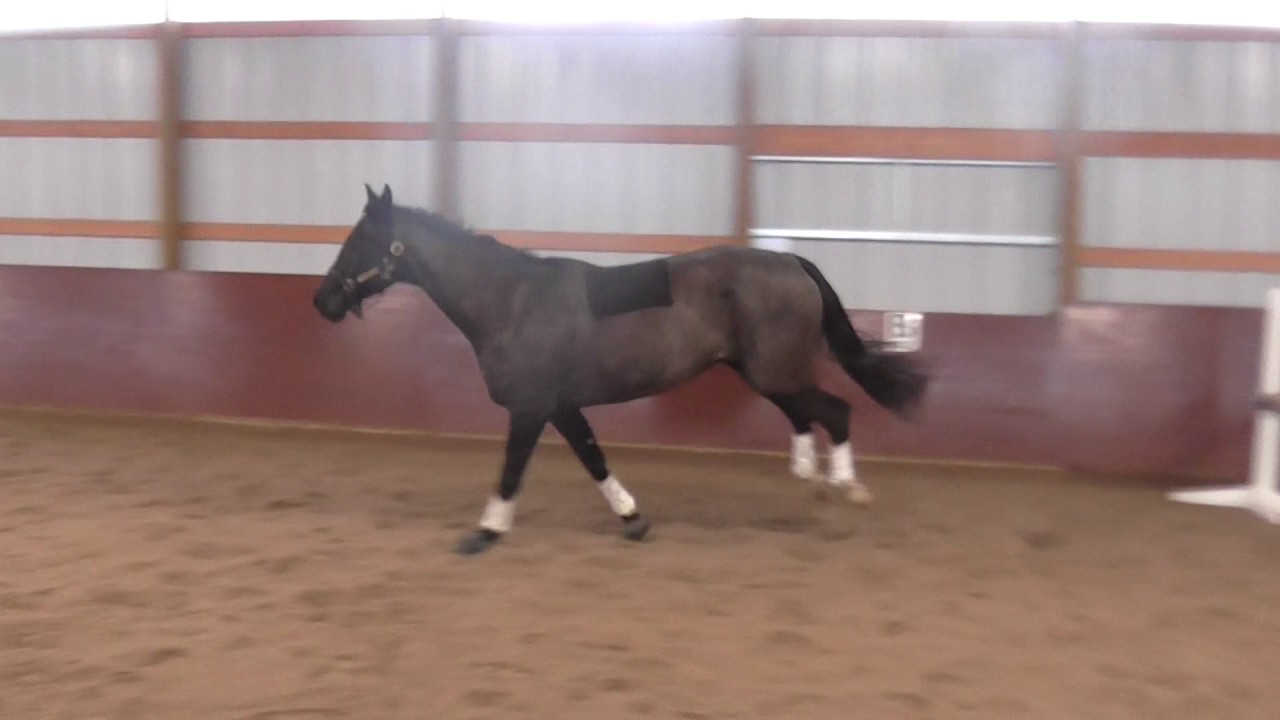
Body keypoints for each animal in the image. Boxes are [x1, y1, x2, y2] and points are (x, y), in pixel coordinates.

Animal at [313, 184, 929, 555]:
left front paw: (485, 531)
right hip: (765, 373)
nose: (324, 301)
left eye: (361, 238)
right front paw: (633, 518)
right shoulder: (561, 406)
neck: (510, 300)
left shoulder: (531, 407)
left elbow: (512, 470)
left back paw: (846, 489)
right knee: (809, 415)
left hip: (775, 372)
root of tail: (791, 262)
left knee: (837, 410)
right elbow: (593, 457)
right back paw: (814, 478)